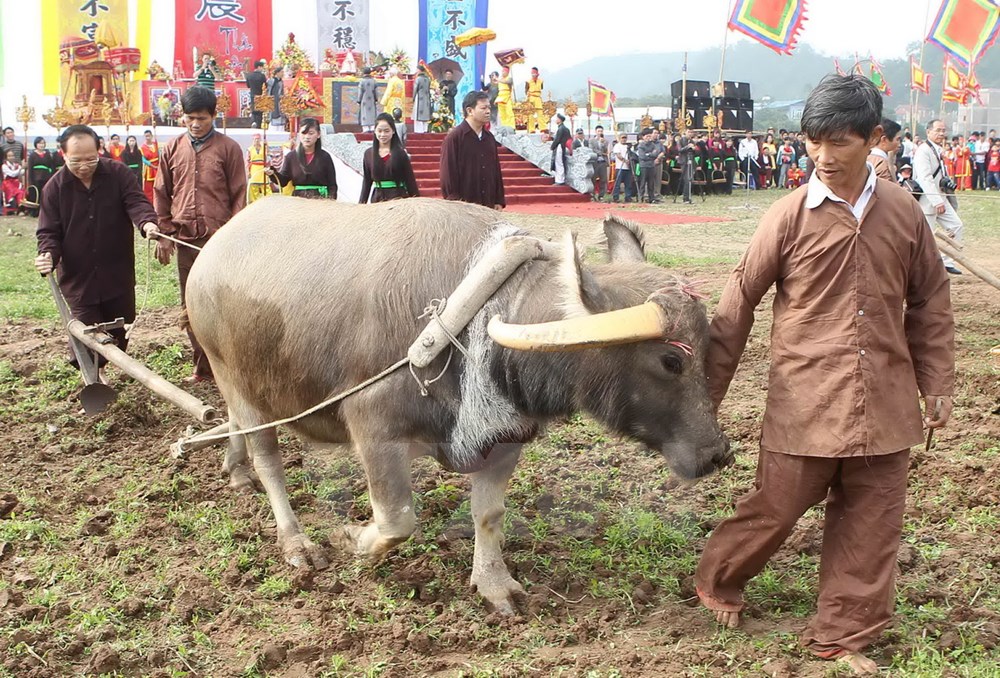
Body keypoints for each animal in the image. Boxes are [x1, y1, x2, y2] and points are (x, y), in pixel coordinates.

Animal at [188, 198, 732, 616]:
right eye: (670, 360)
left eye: (709, 345)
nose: (717, 454)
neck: (479, 324)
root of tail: (212, 248)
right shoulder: (375, 430)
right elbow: (397, 519)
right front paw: (353, 541)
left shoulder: (505, 435)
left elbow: (488, 514)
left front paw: (494, 584)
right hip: (238, 383)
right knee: (269, 461)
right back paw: (295, 542)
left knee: (235, 433)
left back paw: (234, 470)